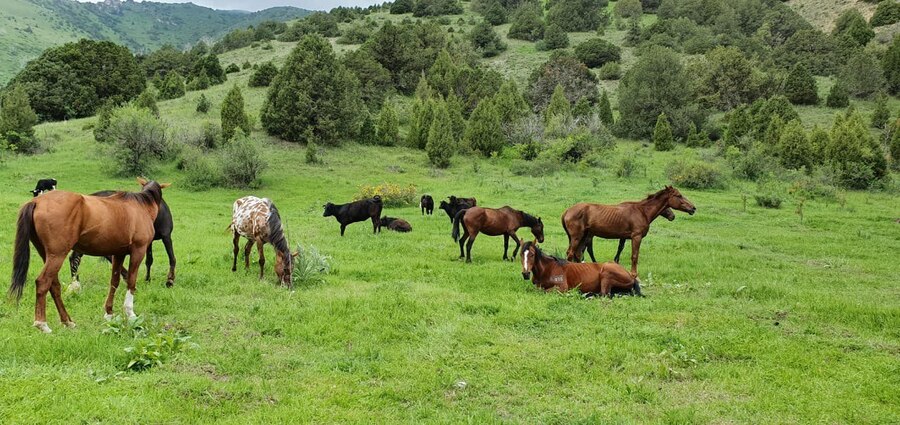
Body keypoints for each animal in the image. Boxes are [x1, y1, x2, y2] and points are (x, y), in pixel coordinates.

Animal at [8, 176, 169, 332]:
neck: (140, 207)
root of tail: (37, 201)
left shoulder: (118, 254)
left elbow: (114, 282)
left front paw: (109, 313)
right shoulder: (138, 251)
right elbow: (131, 281)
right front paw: (130, 314)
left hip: (47, 255)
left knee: (54, 285)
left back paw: (67, 321)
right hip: (57, 255)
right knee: (43, 282)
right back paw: (42, 324)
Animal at [564, 185, 696, 276]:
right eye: (679, 196)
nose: (693, 208)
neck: (642, 212)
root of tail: (567, 211)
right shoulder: (636, 237)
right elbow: (634, 255)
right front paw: (633, 274)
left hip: (584, 236)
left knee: (578, 254)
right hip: (578, 237)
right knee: (571, 253)